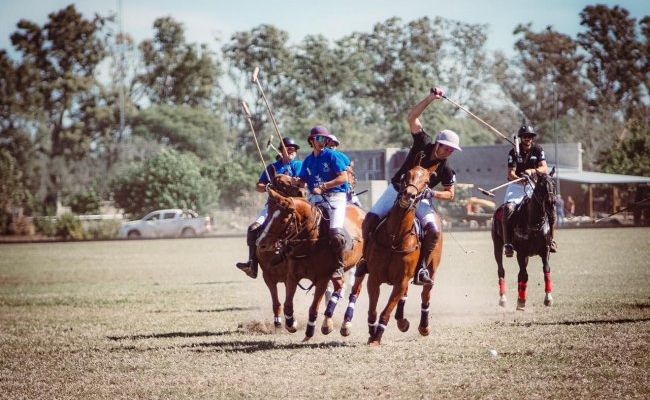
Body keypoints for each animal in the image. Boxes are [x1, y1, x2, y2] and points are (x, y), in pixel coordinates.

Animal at [254, 180, 364, 342]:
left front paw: (309, 331)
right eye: (269, 215)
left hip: (360, 264)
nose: (260, 243)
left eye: (283, 220)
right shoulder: (291, 276)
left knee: (354, 292)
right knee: (339, 287)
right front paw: (291, 324)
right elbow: (287, 304)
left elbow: (313, 308)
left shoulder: (322, 279)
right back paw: (327, 322)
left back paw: (345, 324)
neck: (309, 244)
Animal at [342, 164, 442, 346]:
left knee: (425, 295)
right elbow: (373, 310)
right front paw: (372, 333)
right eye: (406, 174)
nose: (409, 195)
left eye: (427, 182)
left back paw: (423, 326)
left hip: (431, 270)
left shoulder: (400, 281)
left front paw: (377, 338)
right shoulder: (374, 278)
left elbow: (386, 311)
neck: (395, 237)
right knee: (356, 289)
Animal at [488, 171, 556, 310]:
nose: (551, 203)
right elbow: (524, 275)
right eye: (541, 185)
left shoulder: (545, 249)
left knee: (520, 273)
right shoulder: (521, 252)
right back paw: (503, 299)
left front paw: (548, 298)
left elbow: (546, 270)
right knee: (501, 270)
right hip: (497, 245)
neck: (534, 221)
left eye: (553, 183)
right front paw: (521, 301)